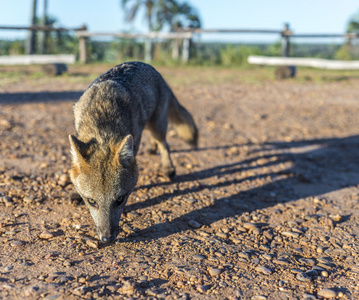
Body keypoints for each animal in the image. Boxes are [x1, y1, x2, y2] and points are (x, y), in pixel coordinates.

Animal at [69, 61, 198, 244]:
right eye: (91, 201)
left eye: (119, 200)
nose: (107, 239)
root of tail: (148, 65)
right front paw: (76, 193)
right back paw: (152, 148)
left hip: (157, 125)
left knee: (164, 144)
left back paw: (168, 168)